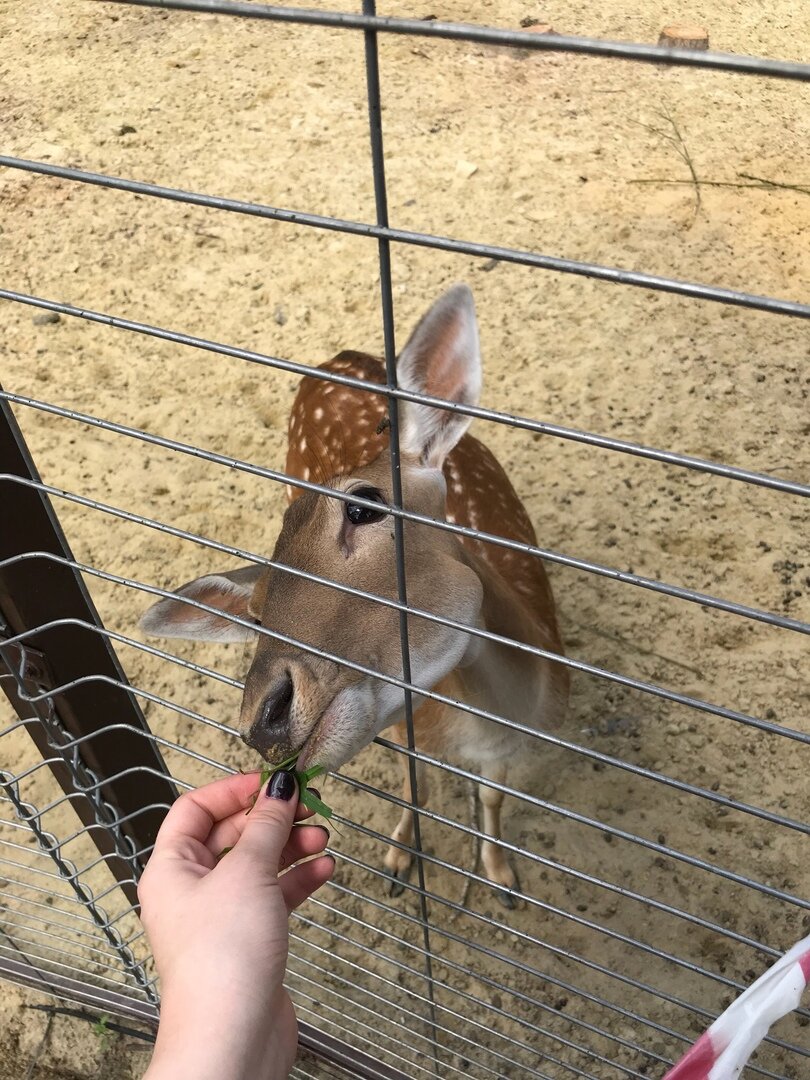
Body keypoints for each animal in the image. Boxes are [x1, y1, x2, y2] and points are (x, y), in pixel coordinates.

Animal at [141, 282, 570, 907]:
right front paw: (399, 859)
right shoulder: (409, 721)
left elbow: (492, 796)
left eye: (363, 506)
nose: (264, 718)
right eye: (256, 614)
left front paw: (504, 878)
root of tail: (337, 358)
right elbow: (416, 787)